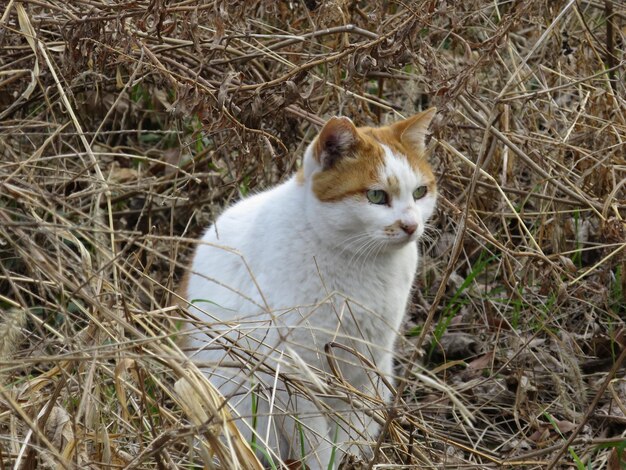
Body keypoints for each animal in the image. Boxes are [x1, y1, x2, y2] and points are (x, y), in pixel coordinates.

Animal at [180, 107, 434, 470]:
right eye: (376, 196)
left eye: (420, 192)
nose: (411, 225)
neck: (362, 264)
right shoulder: (292, 371)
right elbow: (314, 443)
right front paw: (326, 462)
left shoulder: (365, 365)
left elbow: (349, 429)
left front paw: (349, 459)